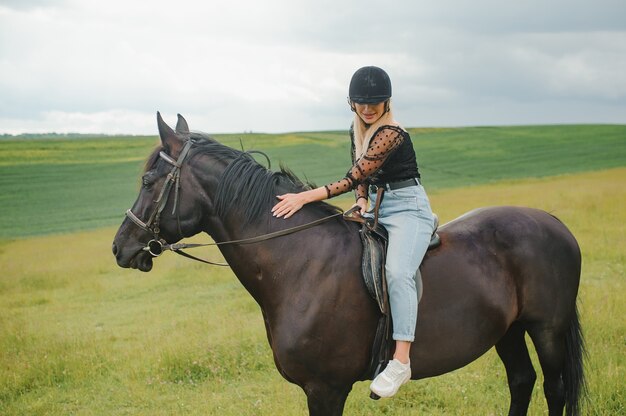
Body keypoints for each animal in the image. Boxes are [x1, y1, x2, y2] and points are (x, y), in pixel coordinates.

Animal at [112, 114, 584, 416]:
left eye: (148, 181)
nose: (121, 247)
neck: (301, 265)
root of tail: (553, 221)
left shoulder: (326, 389)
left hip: (547, 329)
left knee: (554, 388)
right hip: (509, 330)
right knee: (521, 382)